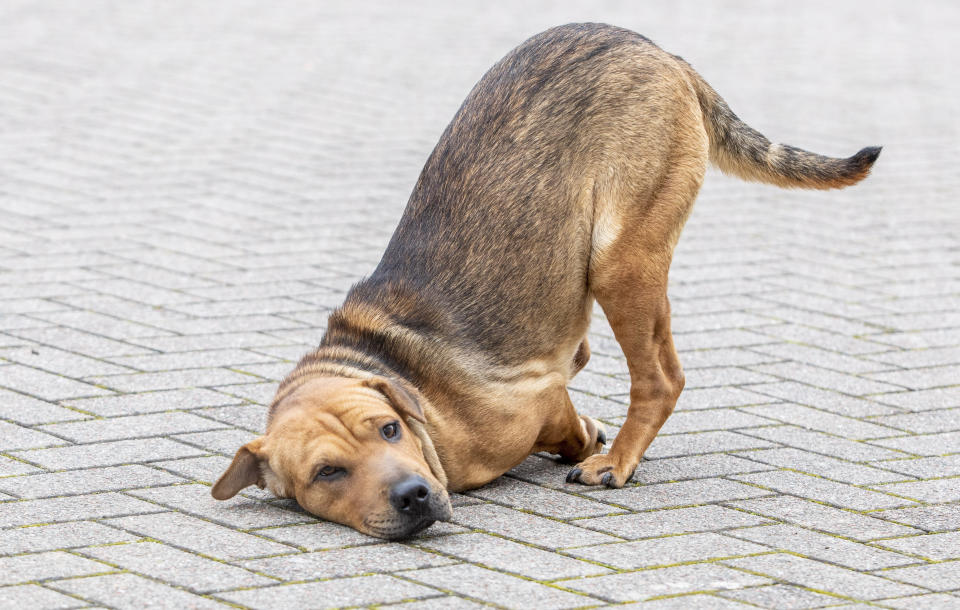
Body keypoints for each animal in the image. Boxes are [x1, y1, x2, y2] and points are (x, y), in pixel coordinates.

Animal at [214, 22, 880, 536]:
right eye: (327, 472)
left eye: (389, 429)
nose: (412, 495)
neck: (388, 368)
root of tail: (657, 50)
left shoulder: (537, 395)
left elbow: (565, 421)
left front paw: (587, 440)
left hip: (619, 264)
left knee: (661, 378)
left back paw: (617, 462)